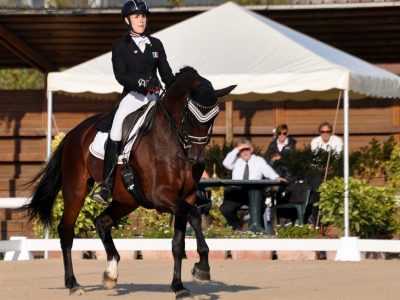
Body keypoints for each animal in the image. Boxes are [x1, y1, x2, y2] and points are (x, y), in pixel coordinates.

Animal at [25, 67, 236, 298]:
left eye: (214, 116)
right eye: (190, 115)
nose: (197, 160)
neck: (174, 142)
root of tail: (74, 133)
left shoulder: (184, 197)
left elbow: (178, 243)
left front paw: (179, 287)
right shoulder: (161, 196)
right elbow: (195, 215)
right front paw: (202, 268)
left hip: (128, 200)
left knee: (102, 221)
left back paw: (110, 274)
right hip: (76, 190)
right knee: (66, 231)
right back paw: (73, 284)